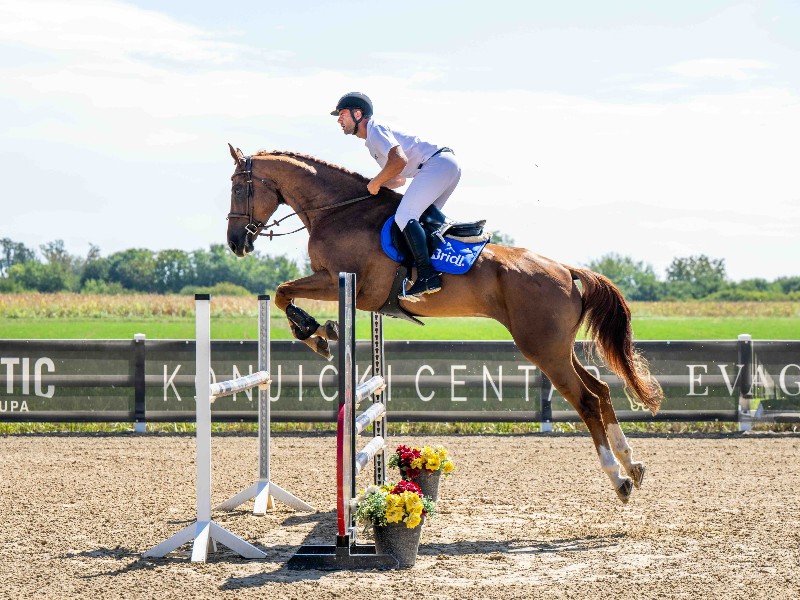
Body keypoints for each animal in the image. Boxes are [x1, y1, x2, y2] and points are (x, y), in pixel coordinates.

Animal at [225, 144, 663, 503]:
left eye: (239, 189)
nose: (235, 242)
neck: (338, 210)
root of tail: (566, 270)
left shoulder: (342, 282)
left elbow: (282, 292)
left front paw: (315, 332)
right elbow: (283, 293)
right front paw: (319, 332)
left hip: (542, 348)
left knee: (586, 399)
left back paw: (619, 479)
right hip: (556, 347)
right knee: (601, 390)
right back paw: (632, 464)